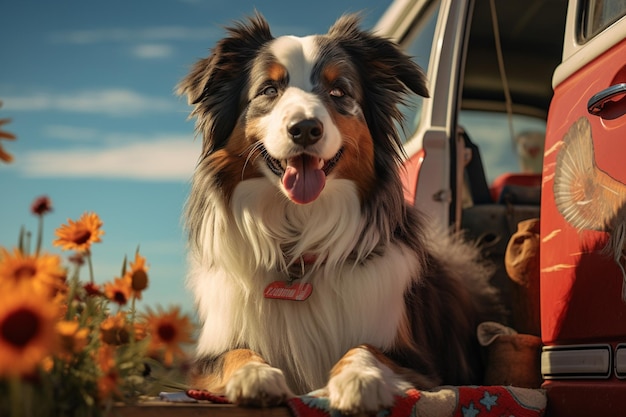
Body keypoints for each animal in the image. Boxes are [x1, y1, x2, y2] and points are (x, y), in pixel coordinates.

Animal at [178, 13, 500, 412]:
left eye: (338, 92)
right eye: (269, 90)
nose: (304, 129)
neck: (299, 232)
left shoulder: (417, 360)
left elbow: (366, 347)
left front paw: (358, 379)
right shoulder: (209, 356)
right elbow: (235, 353)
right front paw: (254, 375)